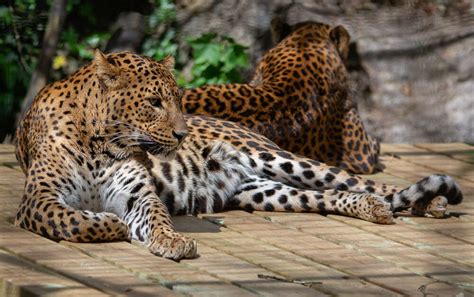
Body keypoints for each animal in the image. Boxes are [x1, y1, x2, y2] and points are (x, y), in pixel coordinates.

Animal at [15, 49, 462, 260]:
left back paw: (430, 203)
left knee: (362, 182)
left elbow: (155, 217)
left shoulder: (137, 194)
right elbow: (74, 220)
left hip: (280, 160)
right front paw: (110, 224)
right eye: (155, 102)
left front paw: (172, 241)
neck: (100, 142)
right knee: (330, 195)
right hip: (268, 192)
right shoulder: (38, 200)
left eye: (178, 99)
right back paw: (374, 208)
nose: (182, 134)